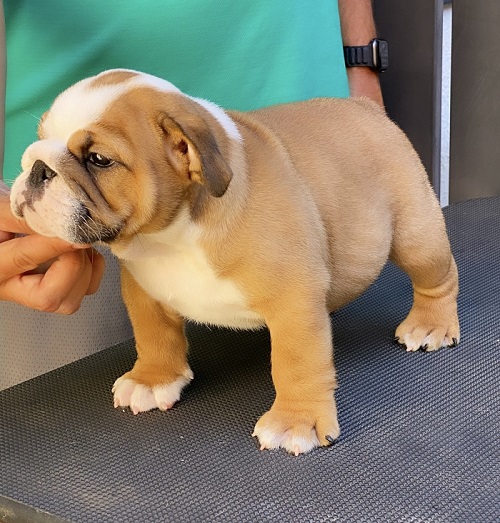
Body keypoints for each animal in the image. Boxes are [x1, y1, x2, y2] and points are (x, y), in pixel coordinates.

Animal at [10, 69, 460, 455]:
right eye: (40, 137)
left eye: (99, 159)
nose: (35, 165)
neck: (170, 235)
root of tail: (368, 110)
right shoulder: (143, 288)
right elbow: (153, 334)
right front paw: (153, 380)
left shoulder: (294, 301)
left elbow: (297, 362)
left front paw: (295, 421)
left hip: (416, 235)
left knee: (438, 276)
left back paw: (430, 325)